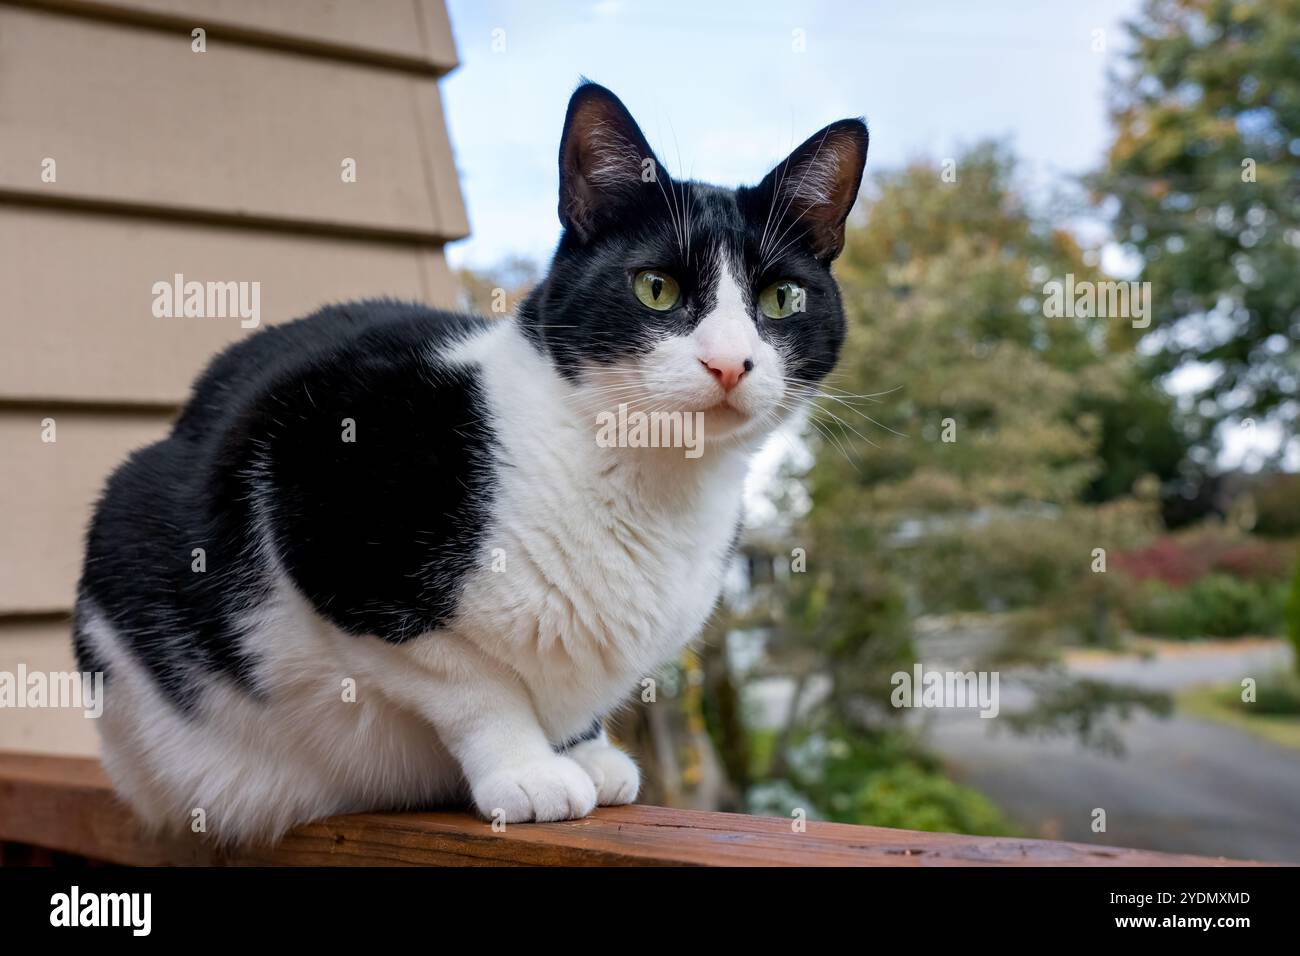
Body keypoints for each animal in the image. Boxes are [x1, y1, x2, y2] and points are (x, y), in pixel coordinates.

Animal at [71, 83, 863, 842]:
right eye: (656, 288)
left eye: (781, 298)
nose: (730, 362)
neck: (651, 486)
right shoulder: (319, 496)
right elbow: (473, 685)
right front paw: (529, 770)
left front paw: (583, 748)